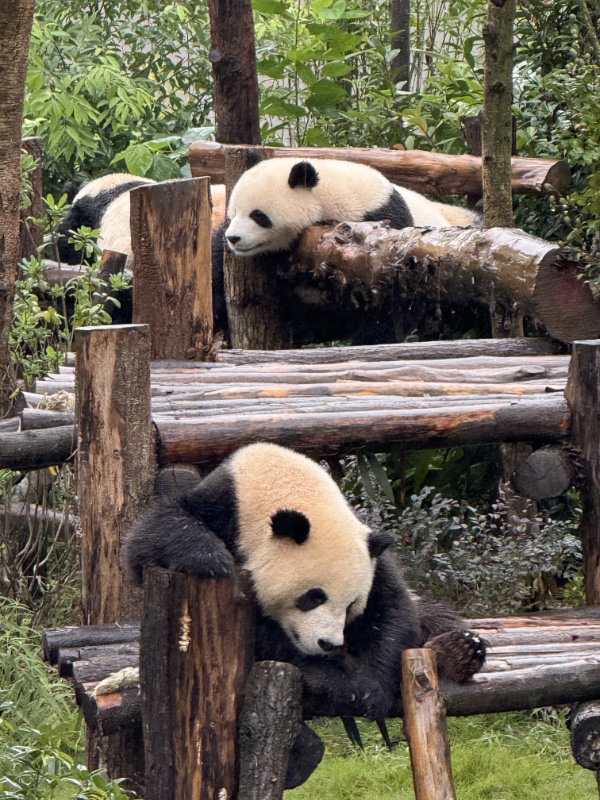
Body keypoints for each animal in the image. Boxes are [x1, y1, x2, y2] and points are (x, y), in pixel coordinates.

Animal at [124, 442, 485, 788]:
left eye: (350, 605)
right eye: (313, 597)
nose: (329, 644)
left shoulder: (372, 556)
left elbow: (392, 608)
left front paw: (366, 687)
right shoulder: (222, 508)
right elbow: (153, 535)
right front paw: (211, 558)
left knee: (434, 617)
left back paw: (459, 650)